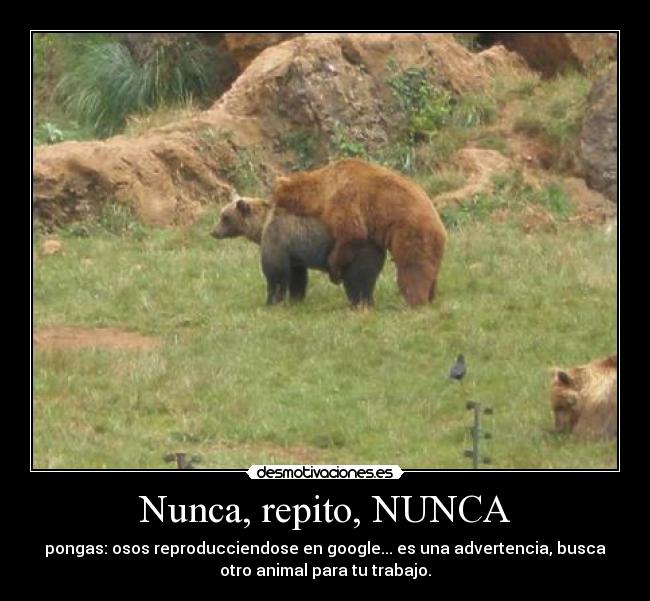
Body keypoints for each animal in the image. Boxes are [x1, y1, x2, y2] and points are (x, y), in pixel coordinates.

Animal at [211, 194, 386, 306]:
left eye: (225, 217)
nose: (213, 232)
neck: (261, 227)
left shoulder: (277, 238)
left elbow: (275, 272)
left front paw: (272, 301)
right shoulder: (293, 253)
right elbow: (297, 275)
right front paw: (296, 298)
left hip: (354, 250)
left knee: (358, 279)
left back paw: (359, 303)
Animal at [272, 158, 448, 307]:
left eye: (274, 199)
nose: (272, 212)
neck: (322, 193)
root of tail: (441, 227)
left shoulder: (346, 199)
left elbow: (351, 234)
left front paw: (334, 271)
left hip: (411, 233)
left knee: (412, 269)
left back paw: (414, 301)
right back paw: (430, 296)